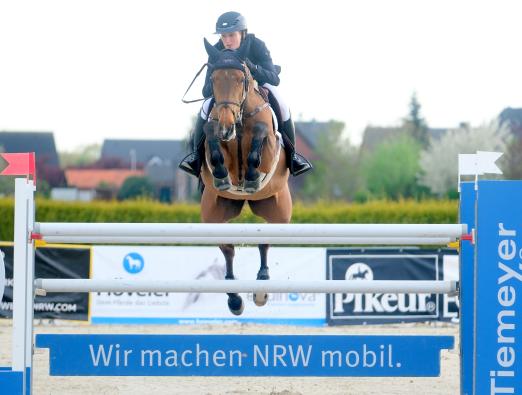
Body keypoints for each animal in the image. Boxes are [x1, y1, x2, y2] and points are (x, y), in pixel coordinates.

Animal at [198, 38, 290, 316]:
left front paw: (250, 178)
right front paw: (221, 175)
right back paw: (234, 298)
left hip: (278, 211)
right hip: (214, 215)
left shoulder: (268, 148)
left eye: (241, 79)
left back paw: (261, 285)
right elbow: (210, 131)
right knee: (227, 249)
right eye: (213, 79)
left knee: (265, 242)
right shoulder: (215, 135)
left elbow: (260, 134)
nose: (227, 126)